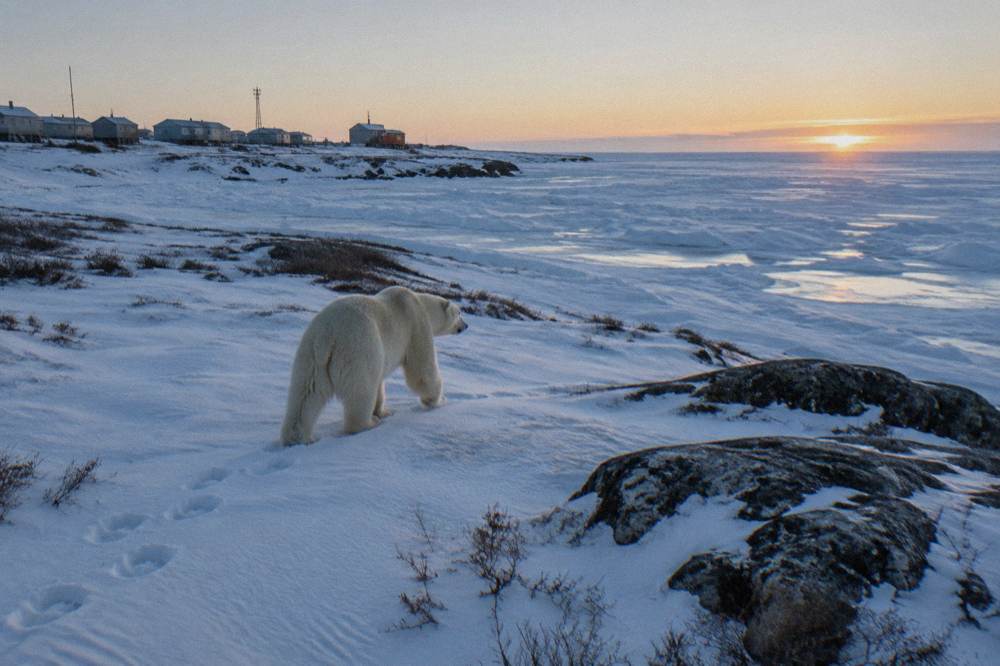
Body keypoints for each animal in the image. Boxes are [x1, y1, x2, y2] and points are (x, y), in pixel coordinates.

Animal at [280, 286, 468, 445]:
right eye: (459, 313)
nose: (466, 325)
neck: (420, 303)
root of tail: (328, 335)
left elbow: (380, 382)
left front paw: (382, 411)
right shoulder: (416, 326)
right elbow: (421, 369)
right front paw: (438, 401)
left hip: (310, 356)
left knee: (306, 394)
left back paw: (298, 437)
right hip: (359, 350)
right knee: (361, 392)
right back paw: (368, 423)